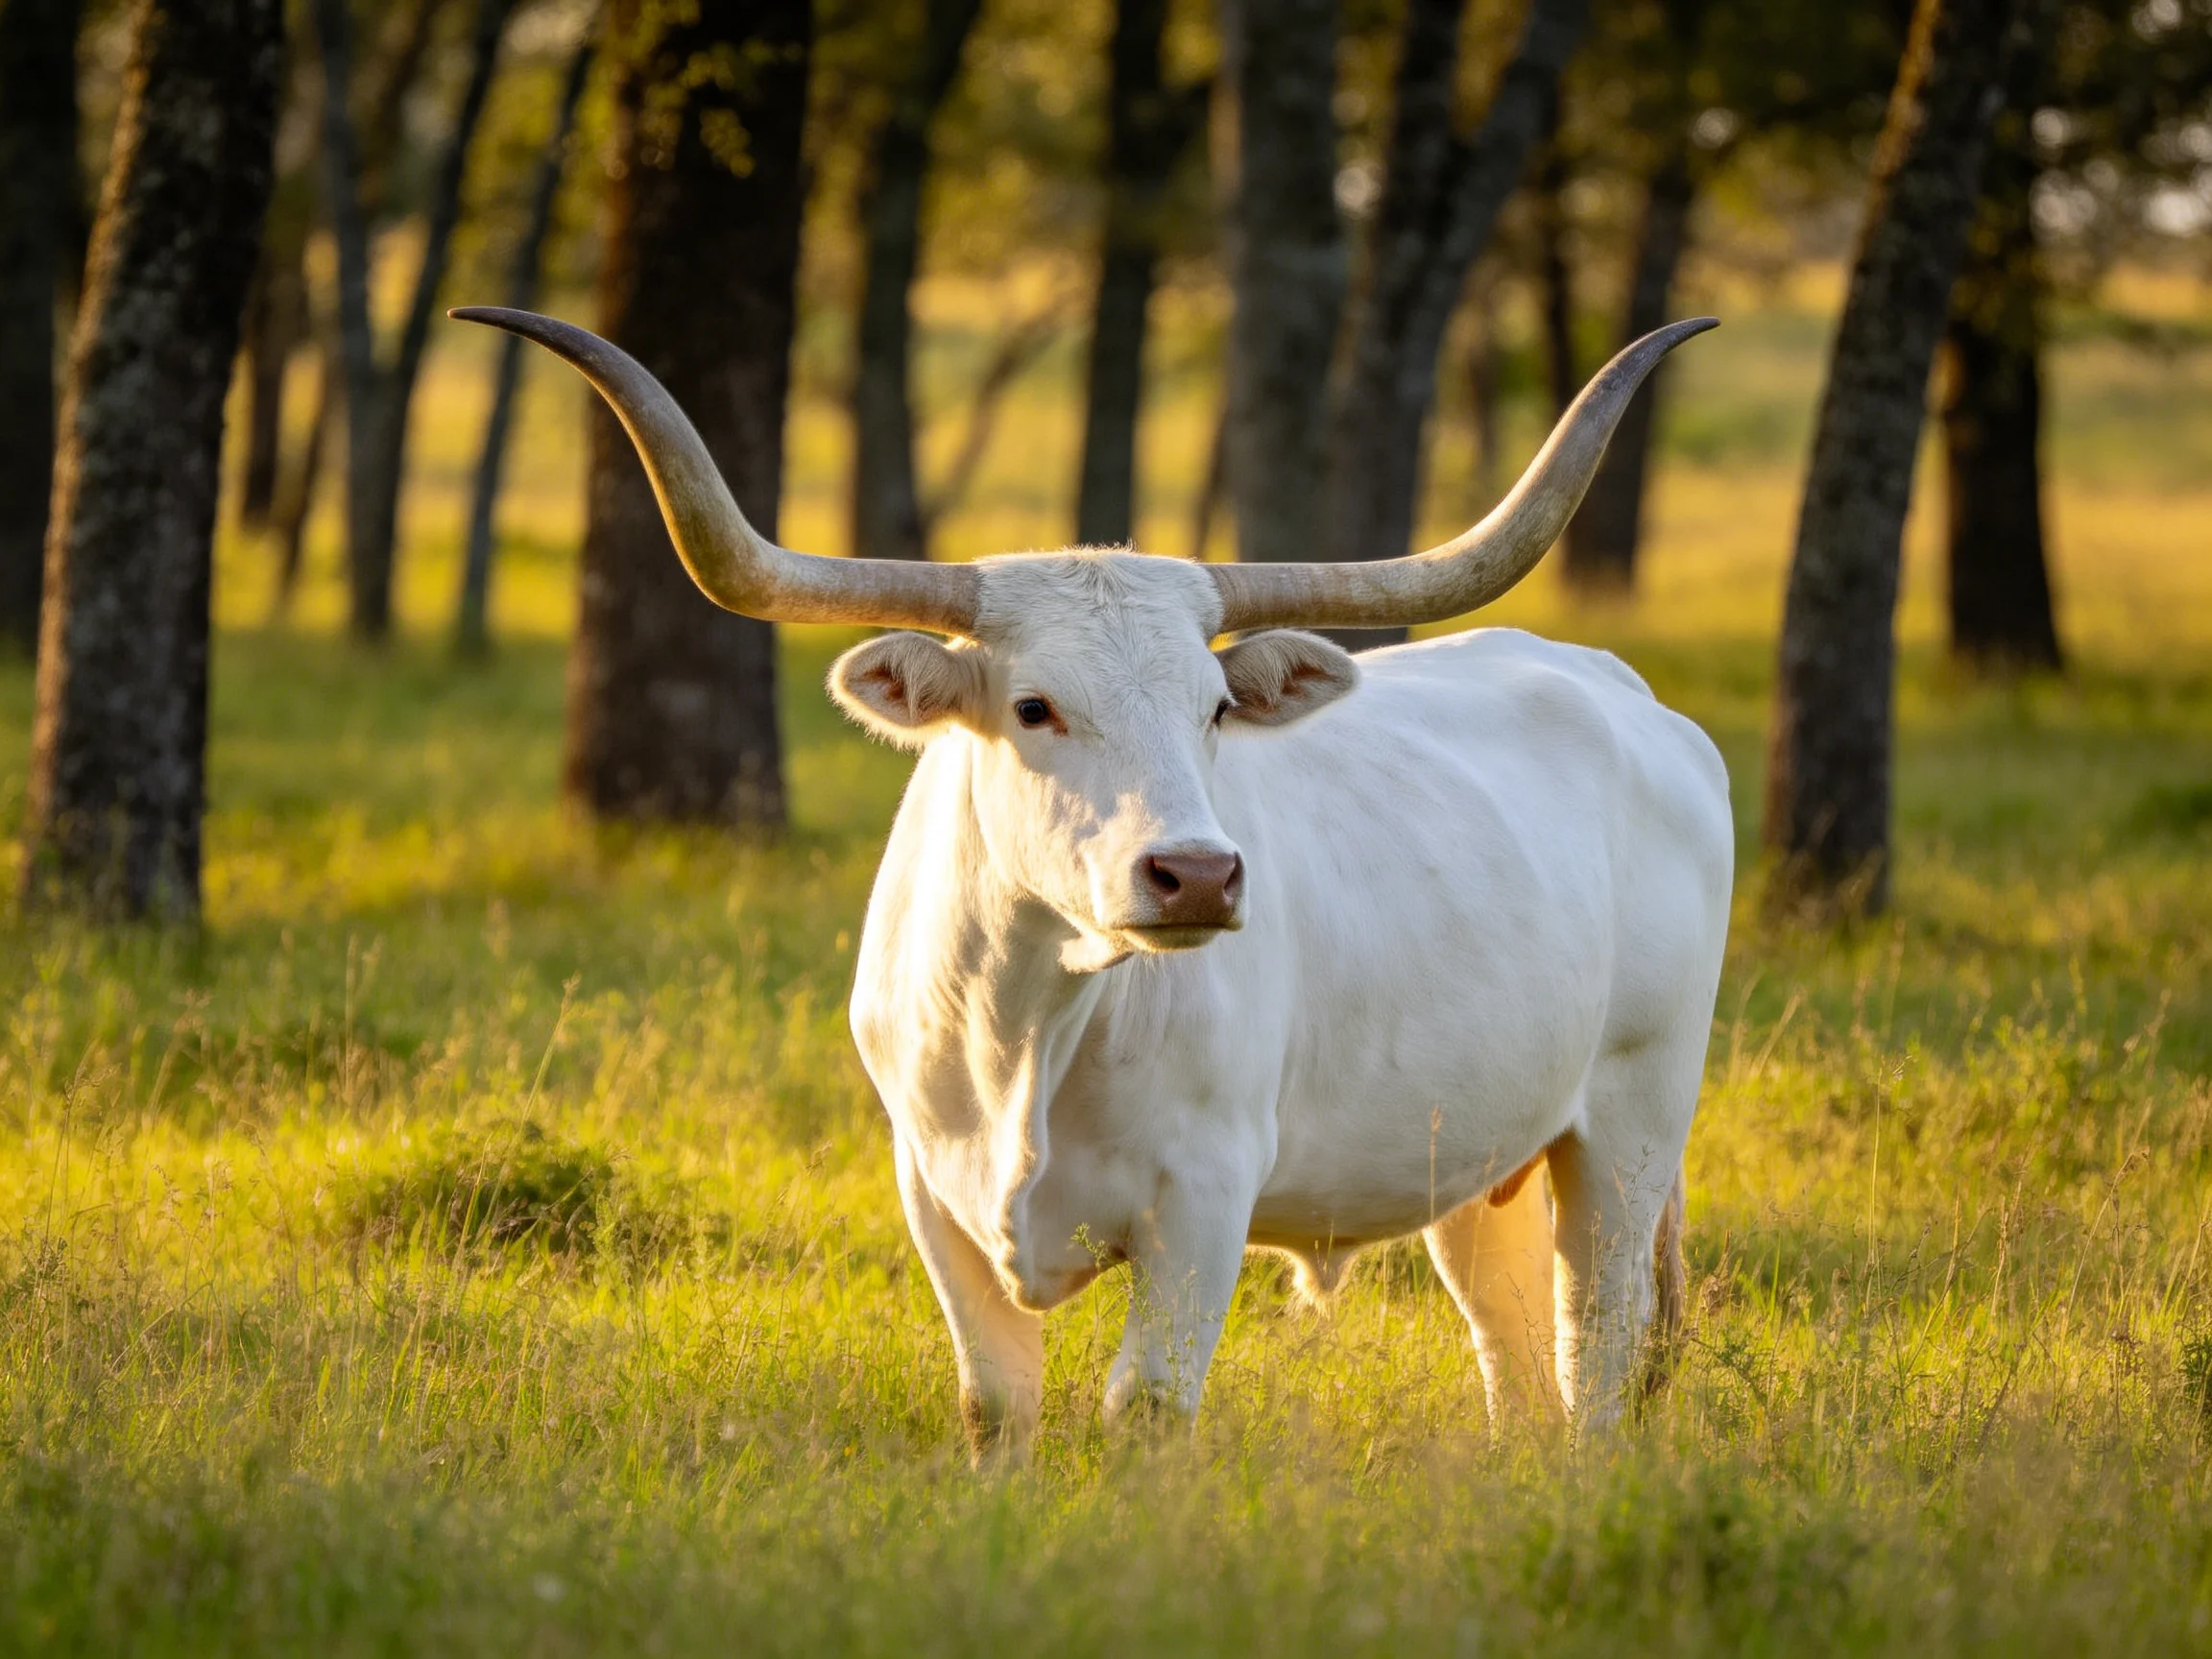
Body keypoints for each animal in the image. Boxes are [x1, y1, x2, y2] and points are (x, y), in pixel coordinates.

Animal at [454, 305, 1734, 1456]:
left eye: (1214, 707)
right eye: (1034, 707)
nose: (1197, 876)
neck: (1024, 1021)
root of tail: (1622, 689)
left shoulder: (1205, 1198)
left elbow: (1146, 1411)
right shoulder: (933, 1197)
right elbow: (995, 1407)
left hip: (1632, 1123)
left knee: (1595, 1350)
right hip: (1482, 1161)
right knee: (1515, 1360)